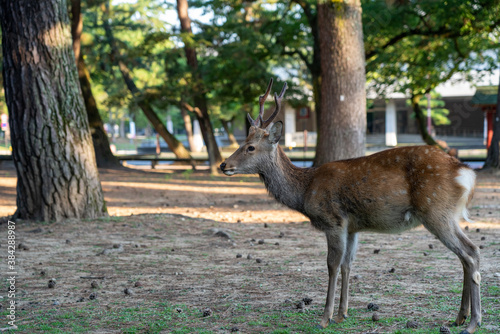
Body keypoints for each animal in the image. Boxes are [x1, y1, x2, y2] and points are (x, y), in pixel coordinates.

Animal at [221, 79, 482, 334]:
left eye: (250, 147)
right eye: (244, 142)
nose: (224, 165)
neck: (305, 190)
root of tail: (465, 172)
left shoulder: (333, 220)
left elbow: (332, 265)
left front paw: (324, 318)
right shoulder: (353, 227)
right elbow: (348, 264)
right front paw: (341, 314)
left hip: (435, 211)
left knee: (469, 254)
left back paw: (472, 322)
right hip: (447, 215)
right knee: (471, 253)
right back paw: (460, 317)